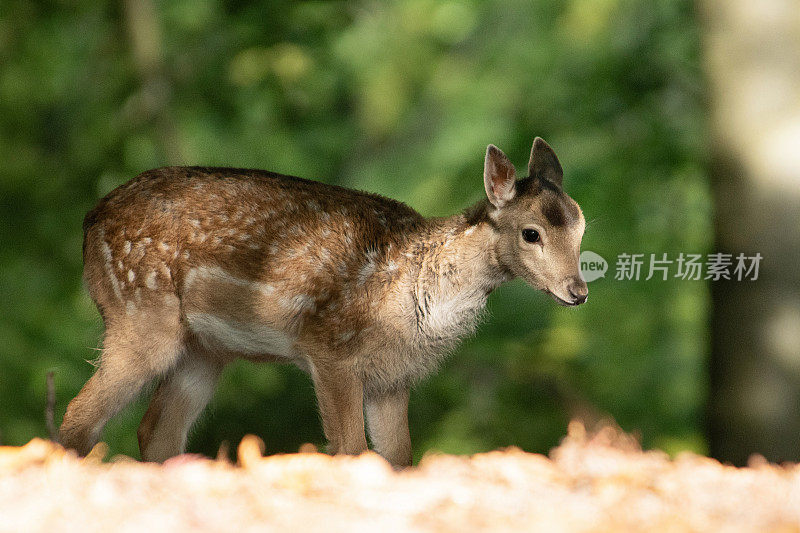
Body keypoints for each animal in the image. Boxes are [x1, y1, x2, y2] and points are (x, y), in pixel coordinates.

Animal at [61, 137, 588, 466]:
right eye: (531, 233)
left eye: (582, 225)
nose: (578, 291)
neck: (416, 296)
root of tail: (88, 221)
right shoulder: (331, 348)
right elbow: (351, 450)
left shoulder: (392, 377)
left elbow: (397, 459)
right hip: (141, 313)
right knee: (78, 419)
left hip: (204, 350)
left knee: (157, 433)